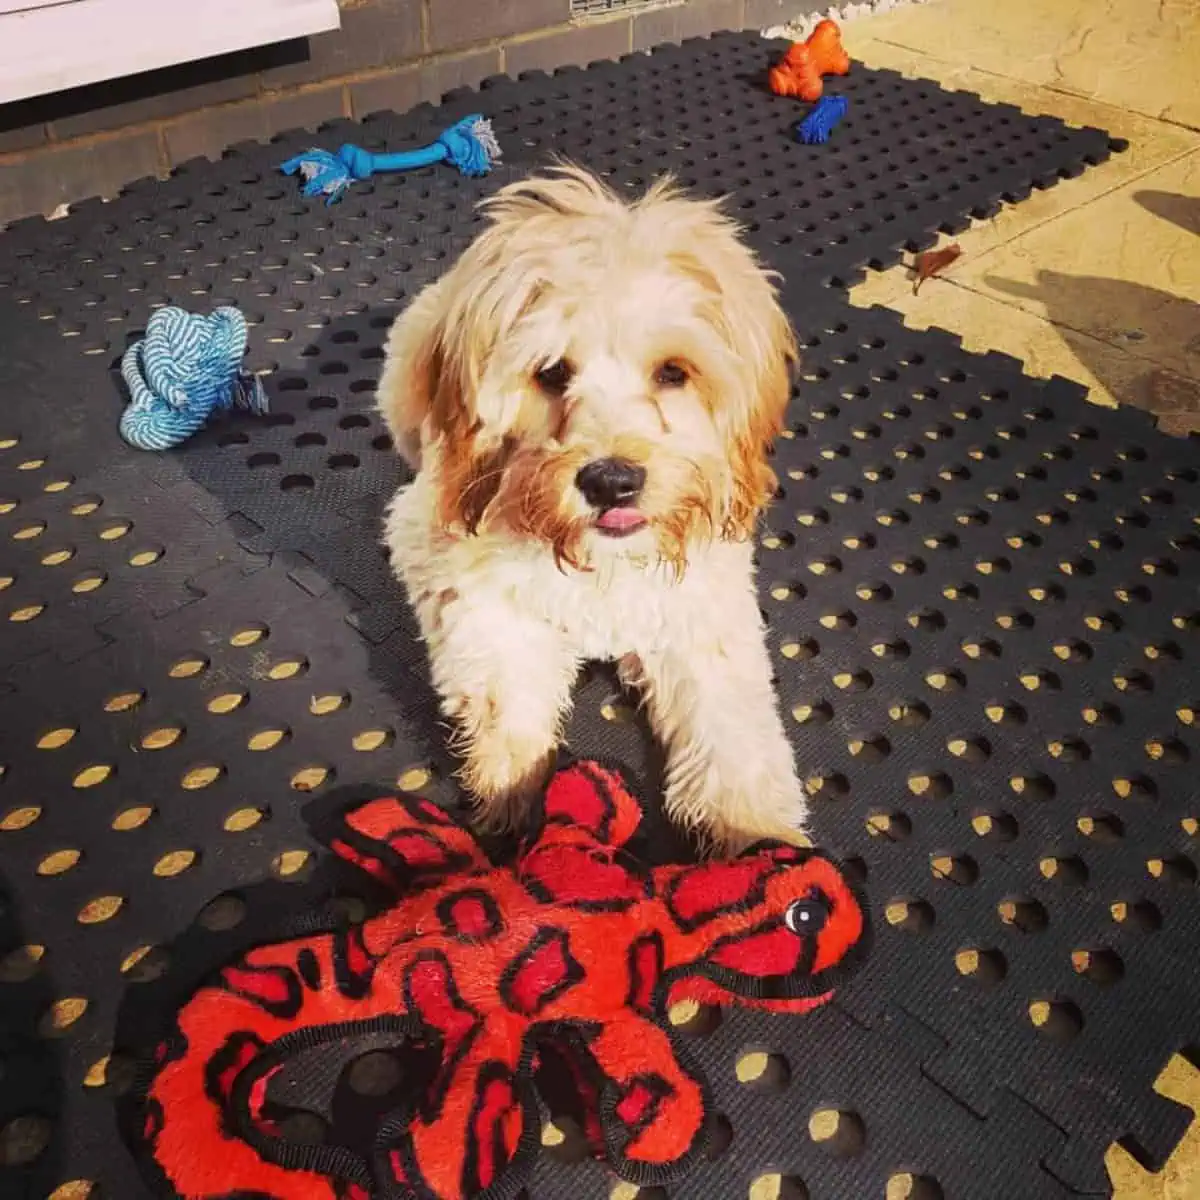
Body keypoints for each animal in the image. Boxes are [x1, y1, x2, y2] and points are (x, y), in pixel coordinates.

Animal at [374, 164, 806, 854]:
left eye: (673, 372)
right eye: (551, 372)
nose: (612, 482)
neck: (603, 559)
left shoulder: (706, 601)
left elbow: (732, 711)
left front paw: (757, 832)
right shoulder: (449, 563)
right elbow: (503, 680)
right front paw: (511, 787)